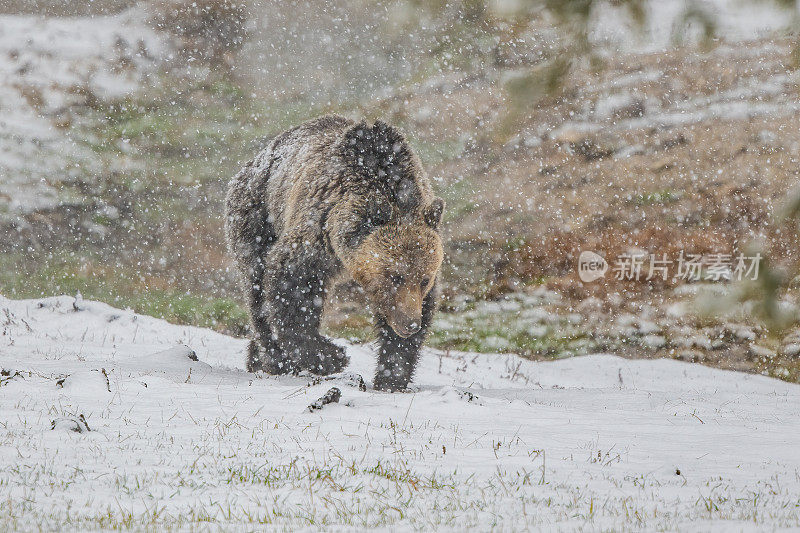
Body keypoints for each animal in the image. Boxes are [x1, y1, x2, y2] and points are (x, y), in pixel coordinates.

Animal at [227, 115, 444, 390]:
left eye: (424, 279)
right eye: (395, 276)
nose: (410, 324)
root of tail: (254, 161)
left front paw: (391, 377)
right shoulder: (316, 232)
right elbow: (290, 285)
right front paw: (331, 356)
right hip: (256, 216)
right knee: (256, 289)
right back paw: (273, 359)